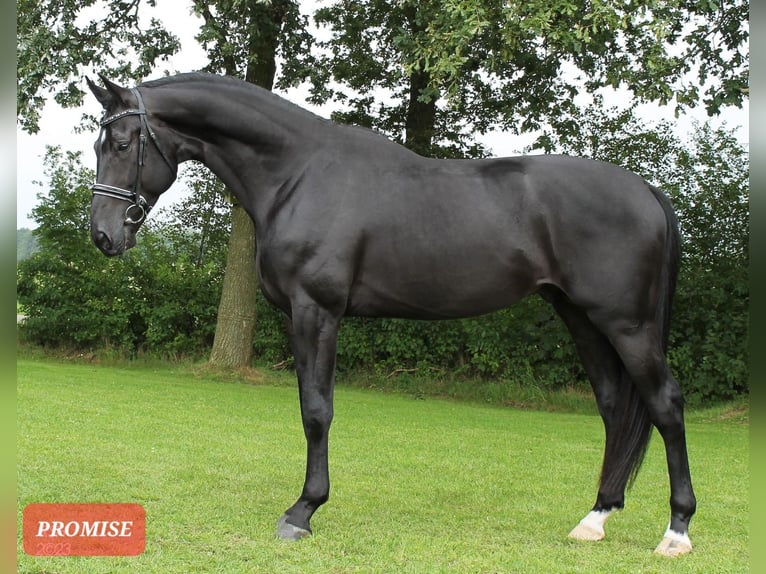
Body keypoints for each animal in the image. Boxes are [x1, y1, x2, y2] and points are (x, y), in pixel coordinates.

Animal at [86, 72, 695, 556]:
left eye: (122, 141)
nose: (103, 236)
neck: (298, 173)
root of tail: (645, 190)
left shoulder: (317, 311)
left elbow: (317, 411)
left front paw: (303, 511)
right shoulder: (300, 316)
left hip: (627, 324)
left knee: (664, 404)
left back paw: (677, 531)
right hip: (582, 318)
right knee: (615, 408)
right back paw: (594, 519)